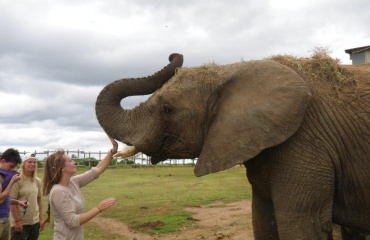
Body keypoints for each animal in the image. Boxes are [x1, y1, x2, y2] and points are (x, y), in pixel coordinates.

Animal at [96, 51, 370, 239]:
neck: (230, 72)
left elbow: (302, 224)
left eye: (166, 109)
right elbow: (263, 222)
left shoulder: (306, 140)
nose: (174, 55)